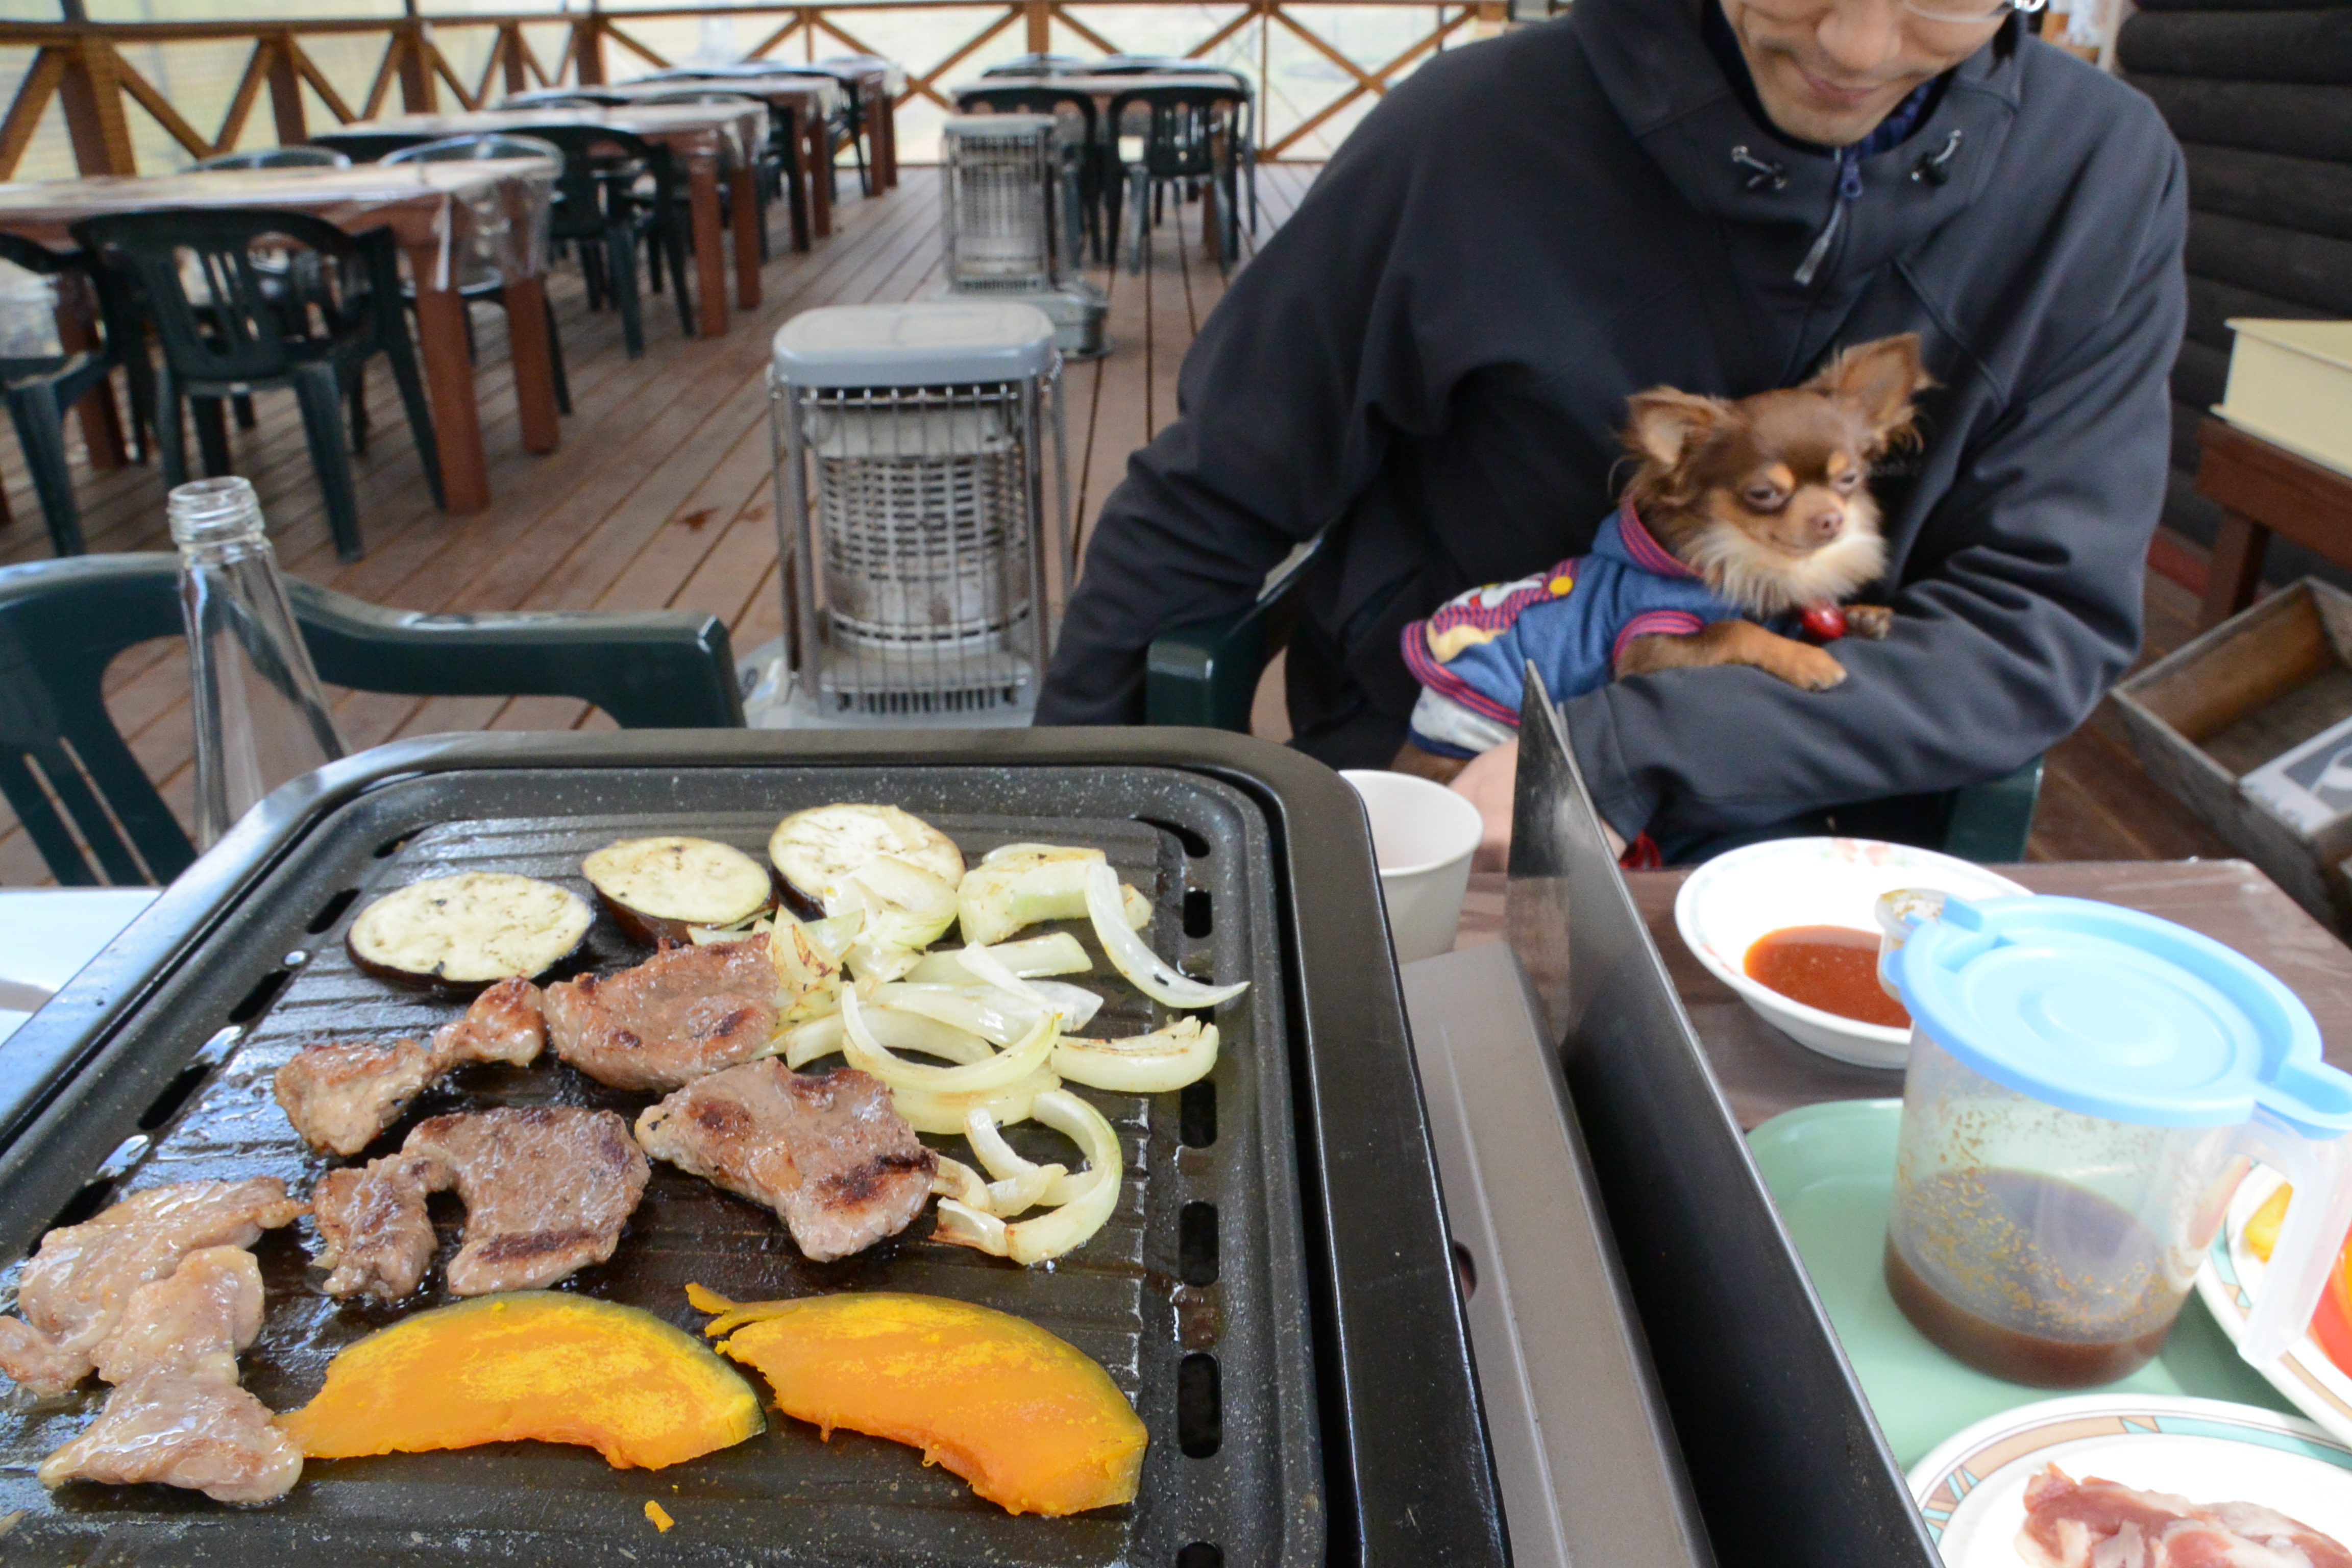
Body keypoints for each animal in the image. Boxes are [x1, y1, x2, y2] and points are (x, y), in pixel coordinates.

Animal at [1392, 336, 1928, 785]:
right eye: (1764, 494)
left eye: (1849, 479)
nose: (1830, 520)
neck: (1740, 557)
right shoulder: (1648, 647)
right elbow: (1736, 630)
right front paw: (1807, 660)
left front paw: (1862, 616)